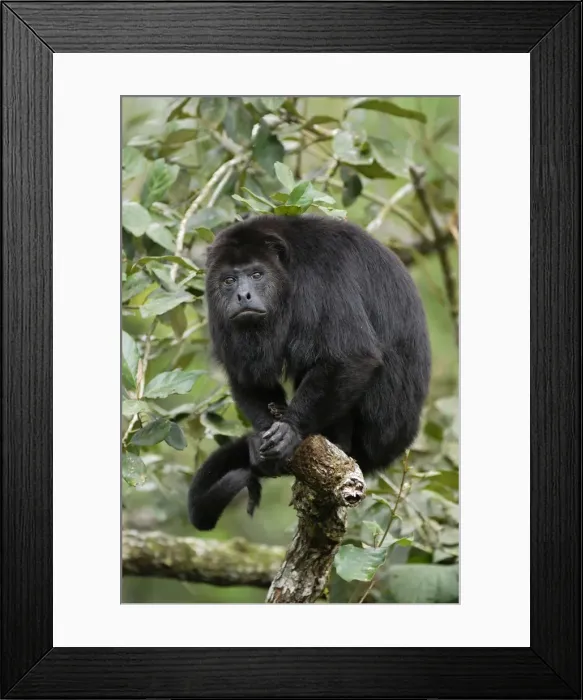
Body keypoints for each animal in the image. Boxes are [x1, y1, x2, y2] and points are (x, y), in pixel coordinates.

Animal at [187, 214, 431, 530]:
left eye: (257, 274)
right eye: (228, 280)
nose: (242, 295)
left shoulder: (323, 275)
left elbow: (352, 356)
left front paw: (291, 430)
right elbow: (247, 377)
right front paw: (262, 440)